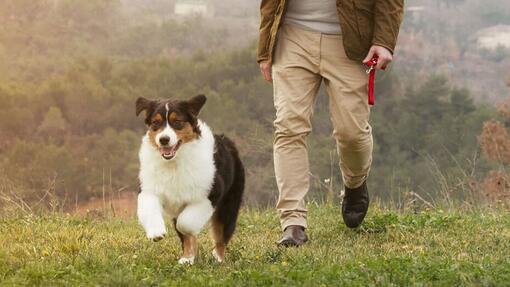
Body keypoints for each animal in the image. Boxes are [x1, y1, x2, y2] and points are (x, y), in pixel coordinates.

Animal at [135, 96, 245, 266]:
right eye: (155, 122)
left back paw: (218, 259)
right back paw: (187, 259)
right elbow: (150, 208)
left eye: (177, 121)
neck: (173, 162)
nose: (164, 140)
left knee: (222, 236)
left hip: (229, 204)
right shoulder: (149, 189)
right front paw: (156, 233)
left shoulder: (210, 193)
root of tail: (227, 141)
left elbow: (185, 223)